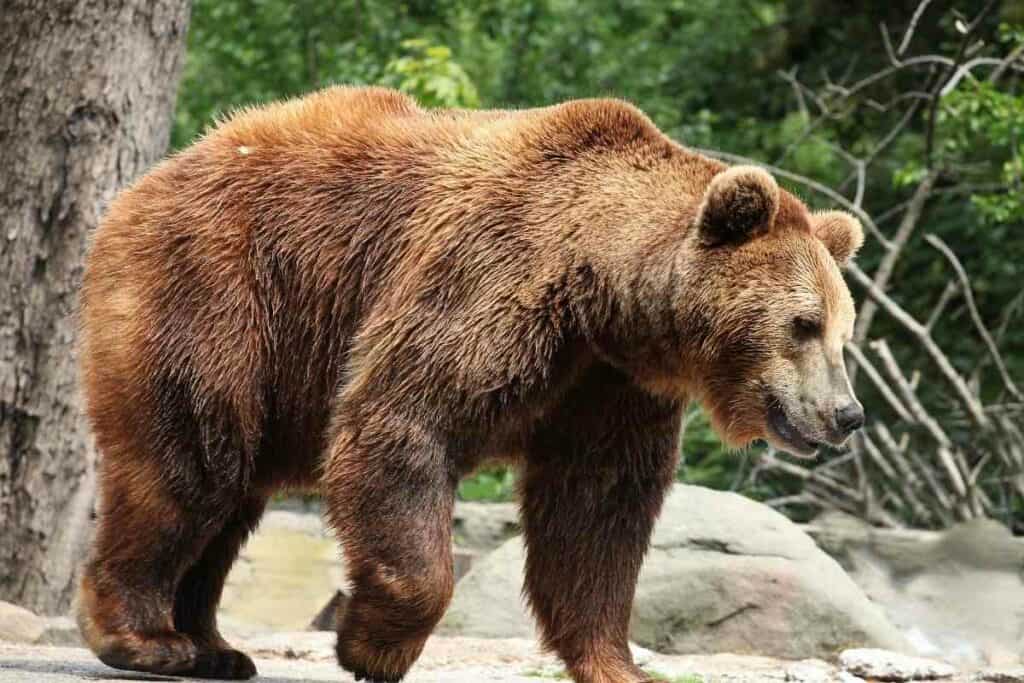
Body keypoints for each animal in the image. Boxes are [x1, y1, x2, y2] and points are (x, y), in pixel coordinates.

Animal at [77, 87, 864, 683]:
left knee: (230, 494)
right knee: (189, 462)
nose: (847, 413)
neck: (605, 295)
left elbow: (598, 507)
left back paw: (214, 646)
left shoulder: (609, 384)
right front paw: (371, 643)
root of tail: (144, 183)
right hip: (221, 294)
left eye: (842, 330)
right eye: (803, 322)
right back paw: (146, 639)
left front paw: (619, 663)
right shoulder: (489, 278)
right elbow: (402, 422)